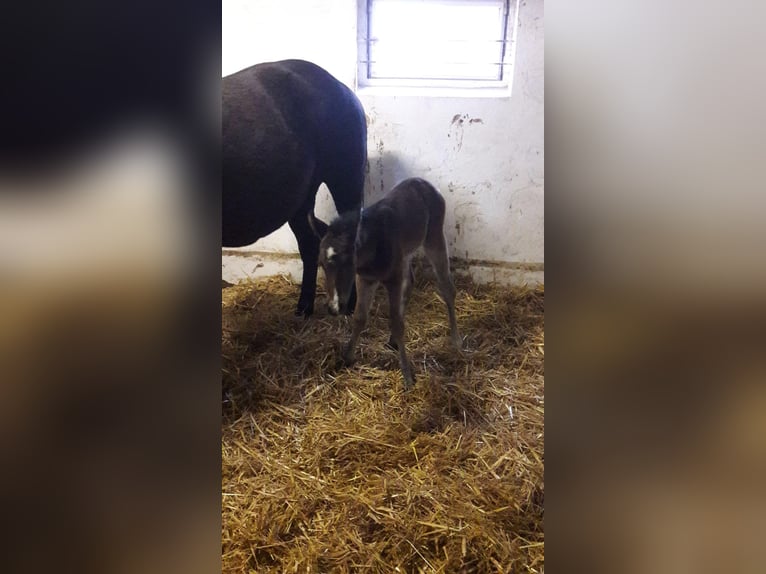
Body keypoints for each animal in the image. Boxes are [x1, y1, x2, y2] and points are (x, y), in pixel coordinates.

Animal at [224, 59, 368, 316]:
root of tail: (344, 89)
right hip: (301, 199)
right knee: (310, 244)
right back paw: (304, 308)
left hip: (346, 179)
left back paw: (349, 307)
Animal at [312, 178, 462, 390]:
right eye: (321, 264)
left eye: (348, 262)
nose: (333, 308)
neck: (373, 248)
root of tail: (424, 183)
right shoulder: (366, 279)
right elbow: (360, 317)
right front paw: (347, 357)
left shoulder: (392, 278)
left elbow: (397, 323)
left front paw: (407, 376)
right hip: (405, 254)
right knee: (410, 284)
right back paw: (392, 341)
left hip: (434, 238)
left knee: (447, 288)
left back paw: (456, 340)